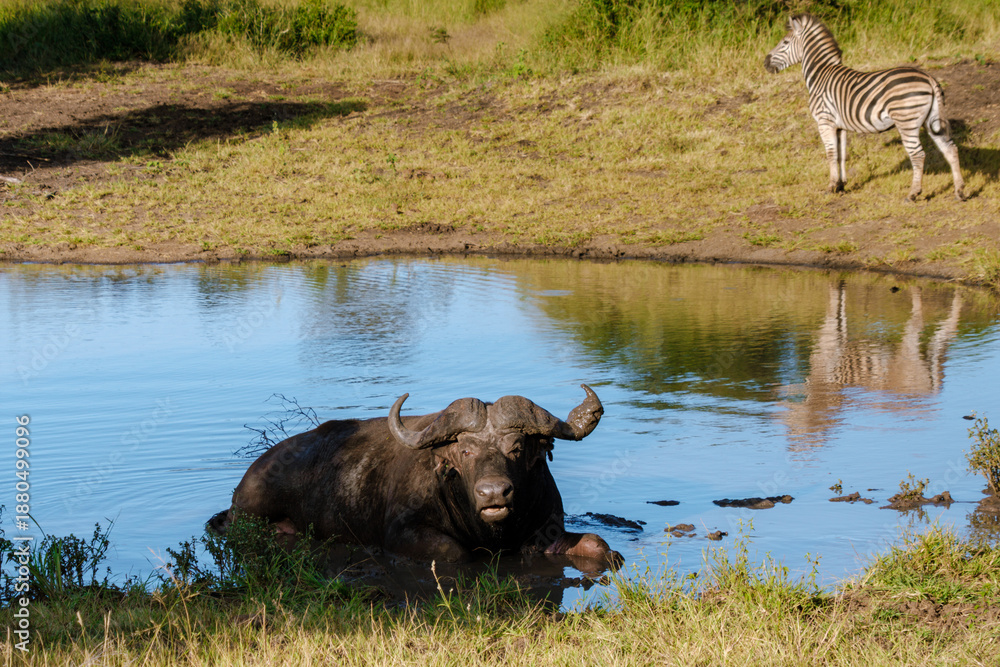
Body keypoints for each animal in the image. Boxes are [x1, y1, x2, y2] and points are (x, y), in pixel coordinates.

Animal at [209, 385, 620, 567]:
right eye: (465, 451)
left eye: (517, 448)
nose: (494, 493)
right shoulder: (404, 534)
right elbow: (455, 553)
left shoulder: (547, 530)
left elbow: (598, 545)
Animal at [764, 14, 965, 202]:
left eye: (785, 42)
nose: (765, 62)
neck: (821, 74)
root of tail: (929, 78)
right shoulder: (840, 126)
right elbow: (841, 154)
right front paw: (841, 185)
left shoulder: (824, 121)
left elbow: (831, 154)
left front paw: (831, 187)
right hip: (931, 120)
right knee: (950, 149)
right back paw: (960, 192)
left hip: (906, 120)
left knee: (918, 155)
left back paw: (913, 194)